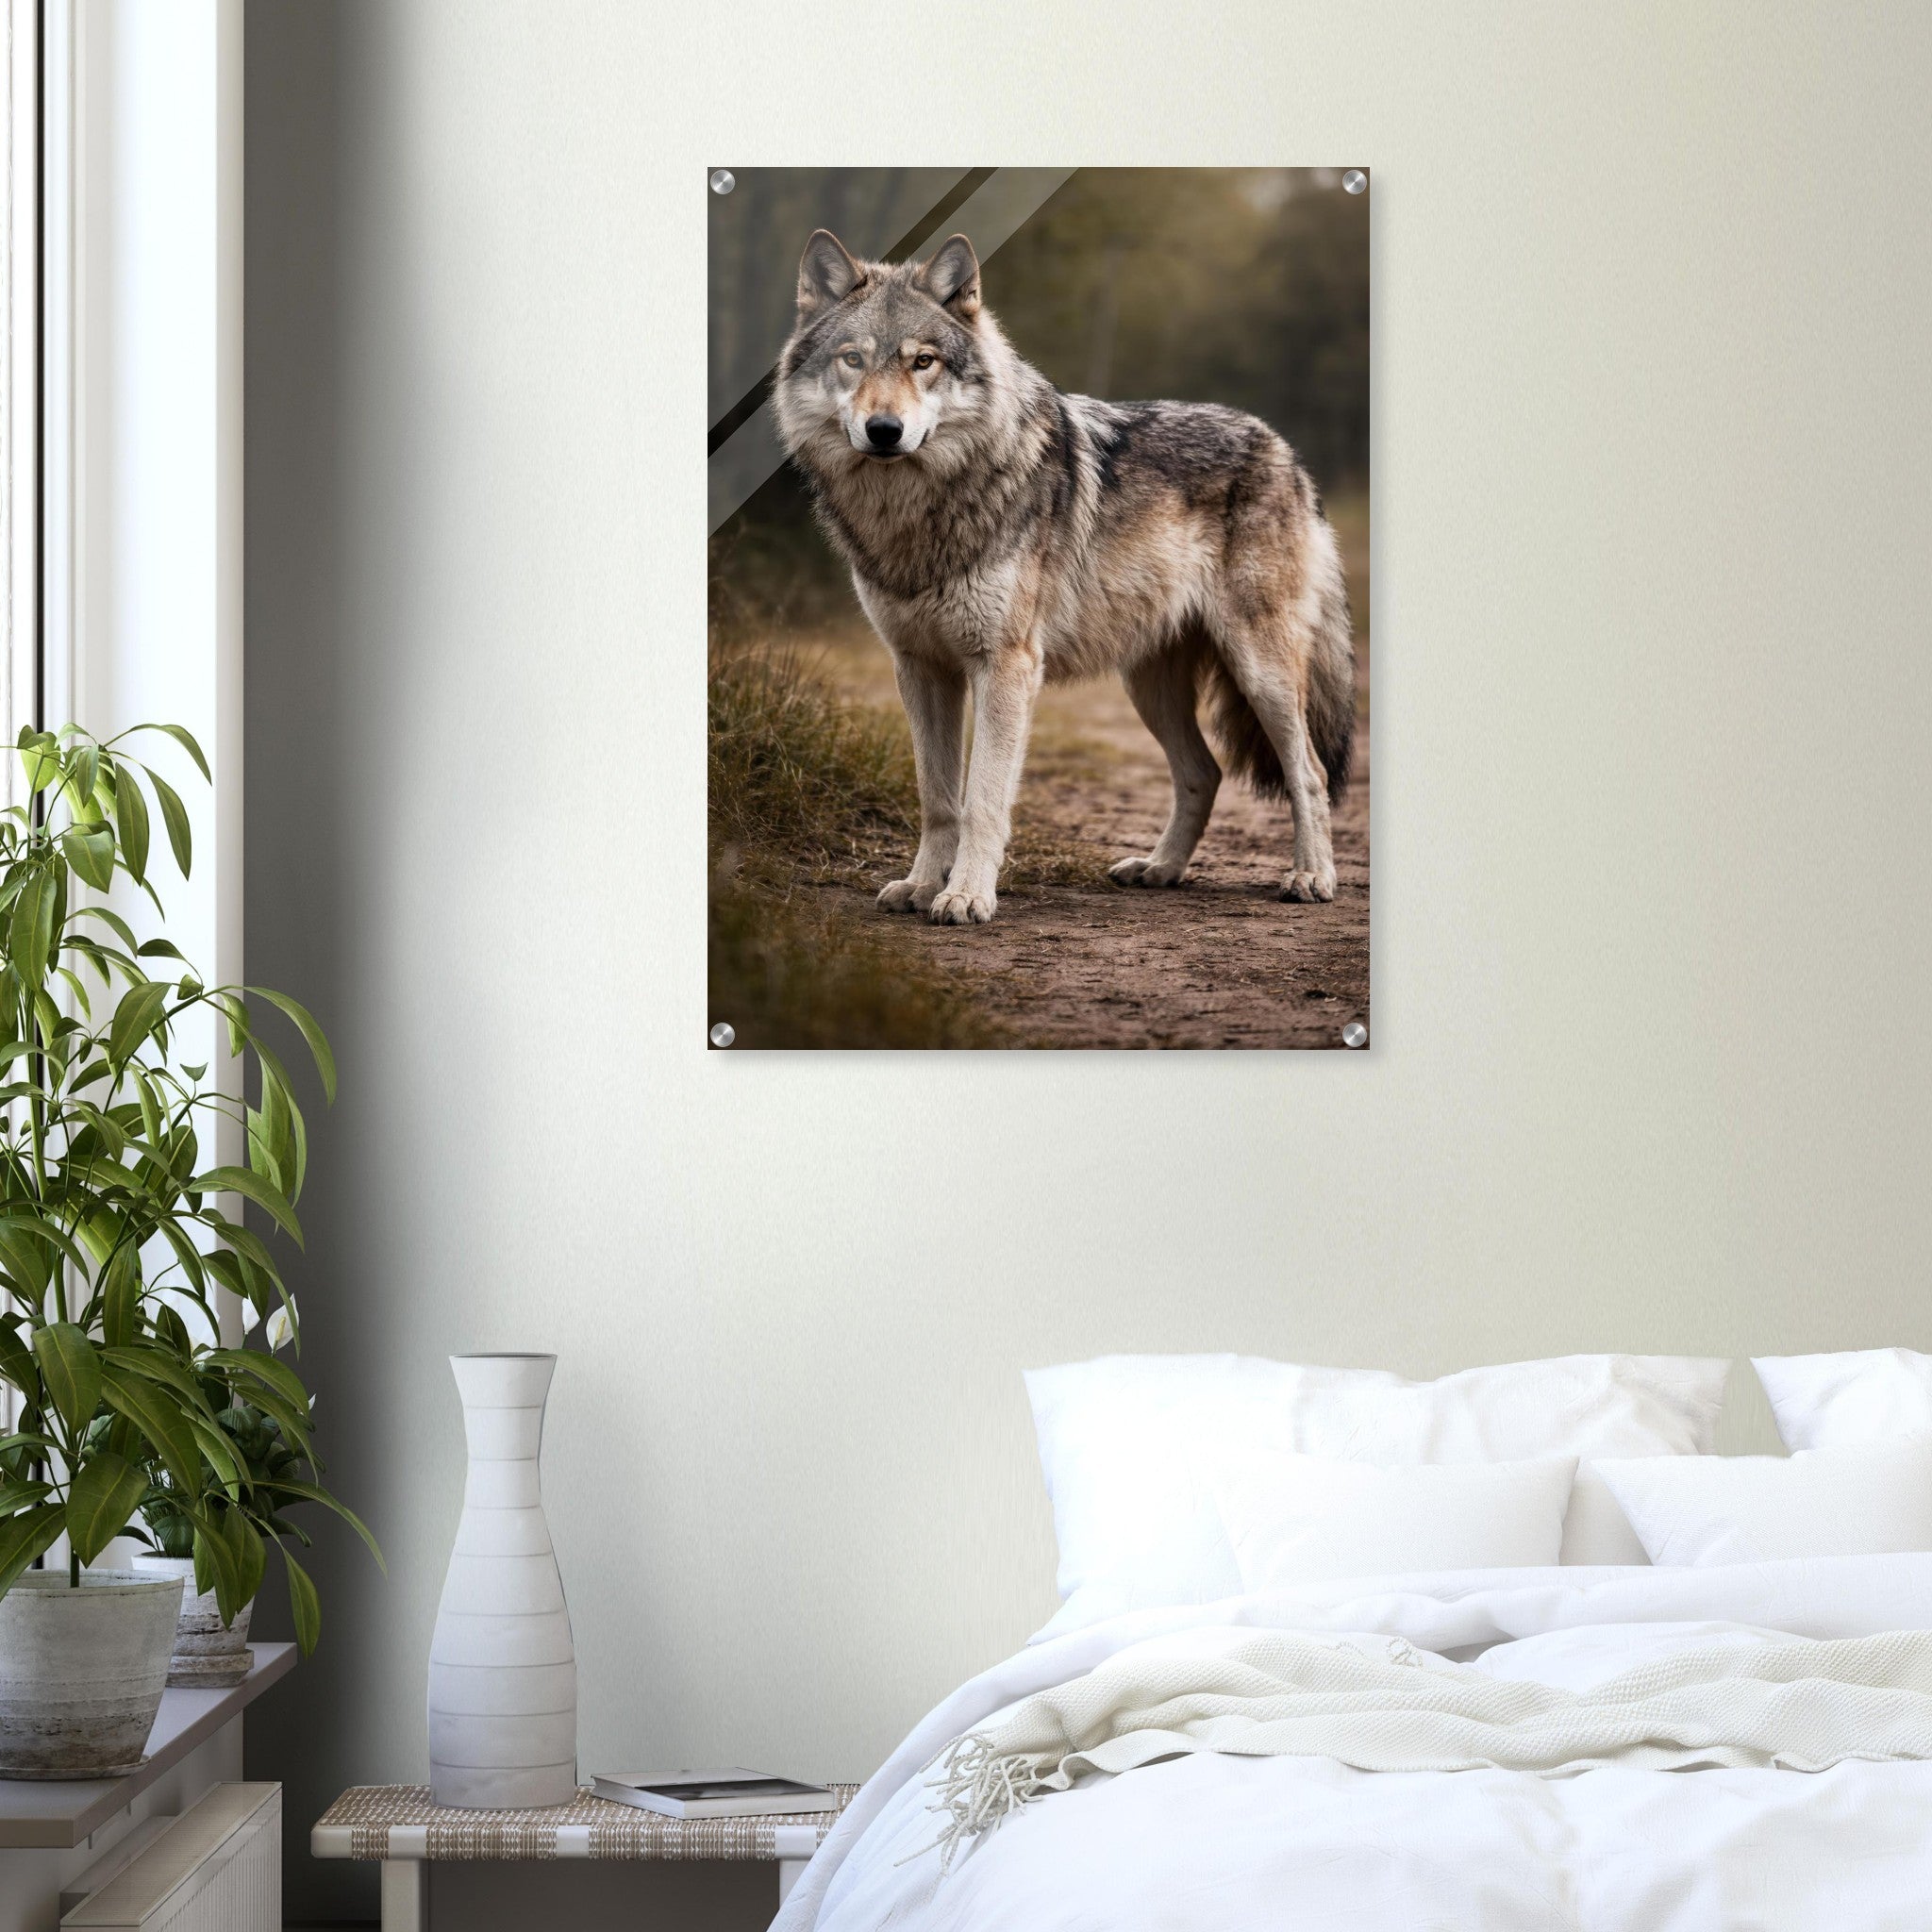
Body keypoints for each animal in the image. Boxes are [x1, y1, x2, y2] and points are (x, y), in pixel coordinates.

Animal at [773, 228, 1354, 927]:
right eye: (853, 360)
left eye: (923, 362)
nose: (884, 431)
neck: (918, 510)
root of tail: (1284, 450)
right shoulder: (919, 667)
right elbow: (937, 798)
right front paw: (919, 886)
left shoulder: (1006, 666)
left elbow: (982, 799)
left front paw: (966, 895)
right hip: (1149, 687)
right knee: (1204, 773)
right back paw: (1159, 869)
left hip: (1260, 672)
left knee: (1310, 773)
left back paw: (1311, 876)